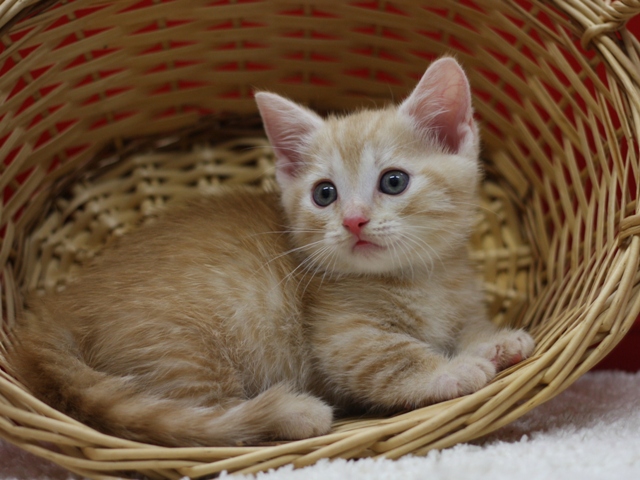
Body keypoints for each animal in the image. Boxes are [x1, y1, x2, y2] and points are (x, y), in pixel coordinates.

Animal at [10, 58, 536, 448]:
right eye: (325, 193)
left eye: (393, 181)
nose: (353, 220)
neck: (425, 278)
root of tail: (59, 307)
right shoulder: (343, 337)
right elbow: (392, 360)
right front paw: (454, 369)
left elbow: (467, 328)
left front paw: (493, 341)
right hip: (183, 348)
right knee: (204, 421)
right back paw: (288, 414)